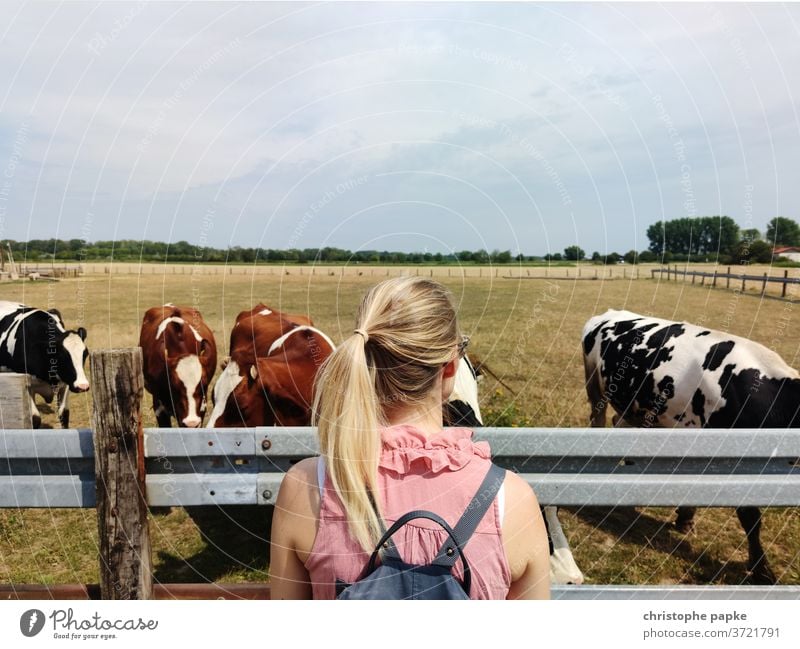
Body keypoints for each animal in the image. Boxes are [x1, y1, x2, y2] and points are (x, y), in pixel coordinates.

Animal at [580, 306, 788, 584]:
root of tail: (612, 312)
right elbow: (750, 516)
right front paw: (762, 569)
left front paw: (686, 518)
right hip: (595, 386)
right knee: (599, 421)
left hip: (635, 405)